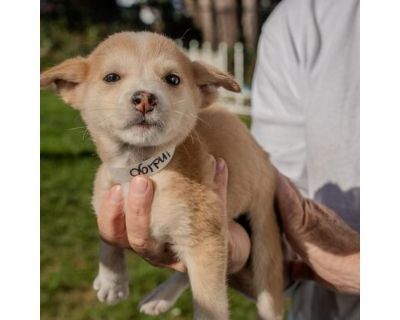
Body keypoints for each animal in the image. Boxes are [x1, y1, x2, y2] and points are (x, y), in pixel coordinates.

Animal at [40, 30, 282, 320]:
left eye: (172, 79)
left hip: (264, 236)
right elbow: (106, 235)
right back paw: (159, 297)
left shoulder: (205, 237)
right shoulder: (105, 191)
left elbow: (209, 301)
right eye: (111, 77)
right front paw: (111, 281)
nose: (145, 97)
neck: (142, 171)